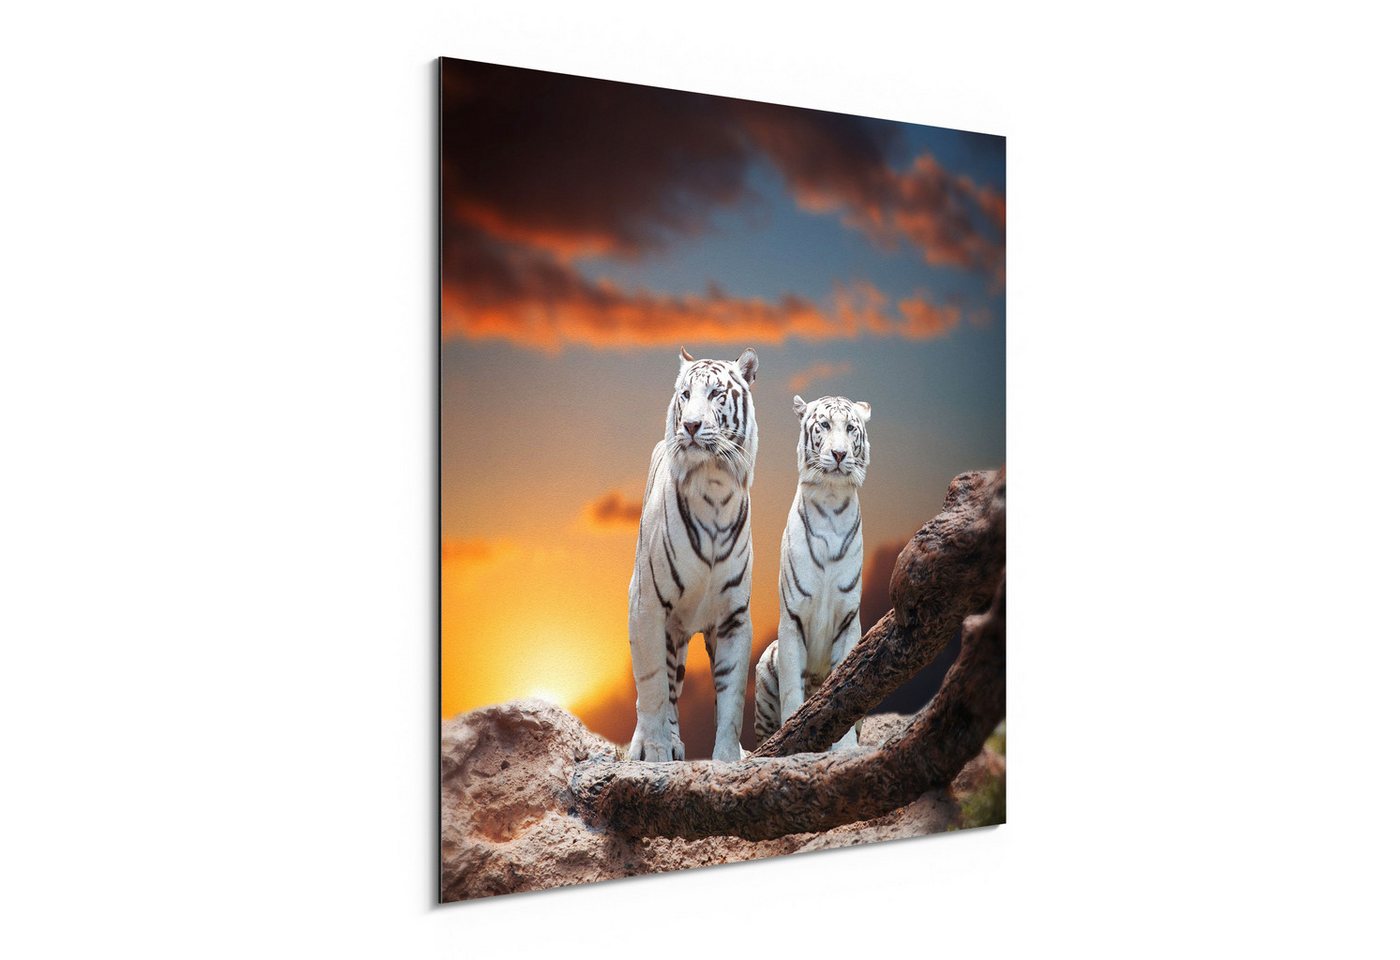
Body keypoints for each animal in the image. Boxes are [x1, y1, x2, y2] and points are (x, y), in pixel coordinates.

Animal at [626, 346, 759, 762]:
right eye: (685, 395)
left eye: (716, 394)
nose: (691, 425)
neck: (713, 485)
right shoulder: (646, 605)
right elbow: (652, 687)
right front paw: (653, 751)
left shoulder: (734, 617)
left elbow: (732, 696)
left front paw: (729, 758)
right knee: (664, 688)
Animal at [754, 393, 871, 749]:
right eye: (824, 425)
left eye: (850, 428)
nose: (839, 454)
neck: (831, 501)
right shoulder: (791, 618)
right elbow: (792, 689)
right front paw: (793, 734)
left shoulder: (848, 620)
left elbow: (845, 689)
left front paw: (845, 749)